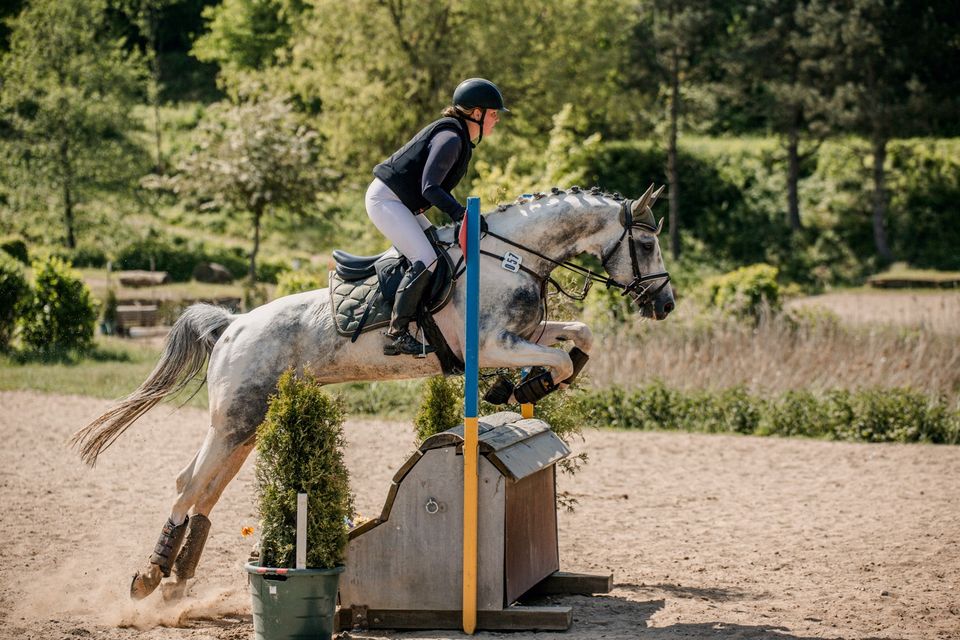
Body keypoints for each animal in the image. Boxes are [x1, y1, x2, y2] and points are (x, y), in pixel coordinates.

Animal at [69, 184, 676, 600]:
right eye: (647, 242)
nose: (665, 305)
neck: (513, 257)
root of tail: (233, 323)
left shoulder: (520, 336)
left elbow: (579, 337)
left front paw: (531, 385)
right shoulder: (492, 344)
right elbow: (555, 357)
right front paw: (522, 385)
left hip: (249, 423)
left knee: (205, 489)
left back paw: (175, 580)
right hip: (235, 419)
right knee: (190, 483)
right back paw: (150, 576)